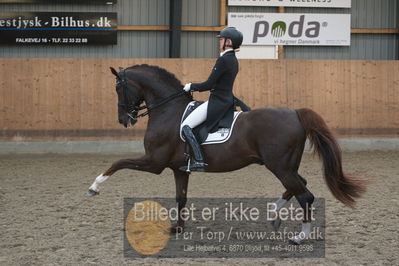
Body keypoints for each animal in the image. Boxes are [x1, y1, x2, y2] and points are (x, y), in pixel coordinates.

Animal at [86, 63, 368, 244]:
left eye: (118, 88)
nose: (124, 119)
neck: (168, 110)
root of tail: (295, 113)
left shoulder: (154, 162)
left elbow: (118, 162)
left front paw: (94, 187)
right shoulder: (179, 168)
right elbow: (181, 198)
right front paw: (178, 228)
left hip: (279, 166)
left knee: (305, 195)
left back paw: (299, 236)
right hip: (285, 165)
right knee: (299, 186)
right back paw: (273, 213)